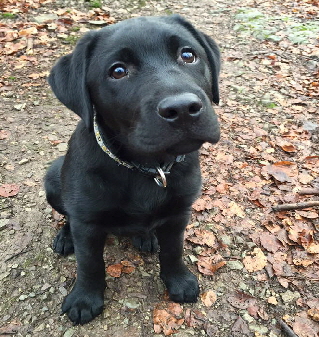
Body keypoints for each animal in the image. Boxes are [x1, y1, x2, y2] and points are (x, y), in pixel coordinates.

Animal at [44, 14, 220, 324]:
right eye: (118, 71)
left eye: (188, 55)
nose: (183, 108)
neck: (146, 168)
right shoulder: (87, 224)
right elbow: (90, 263)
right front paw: (84, 298)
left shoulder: (179, 212)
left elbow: (173, 251)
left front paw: (179, 280)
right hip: (53, 178)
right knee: (67, 215)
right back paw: (66, 237)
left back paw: (146, 236)